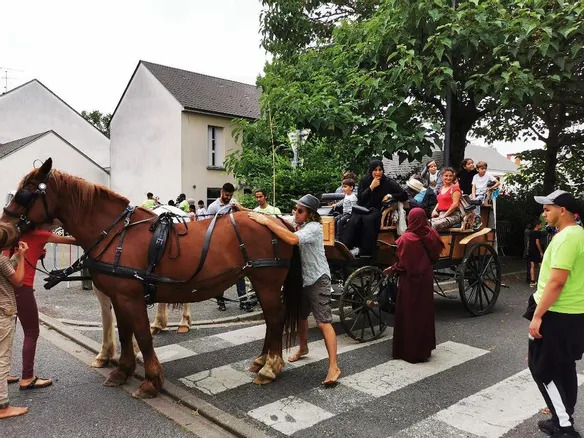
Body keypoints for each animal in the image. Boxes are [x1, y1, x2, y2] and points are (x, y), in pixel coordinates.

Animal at [1, 159, 302, 398]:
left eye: (25, 193)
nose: (4, 228)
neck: (116, 234)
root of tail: (281, 222)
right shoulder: (119, 297)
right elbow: (125, 333)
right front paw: (122, 370)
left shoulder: (131, 297)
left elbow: (143, 336)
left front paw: (151, 380)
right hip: (262, 283)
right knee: (270, 321)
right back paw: (261, 360)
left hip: (266, 282)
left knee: (275, 318)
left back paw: (270, 367)